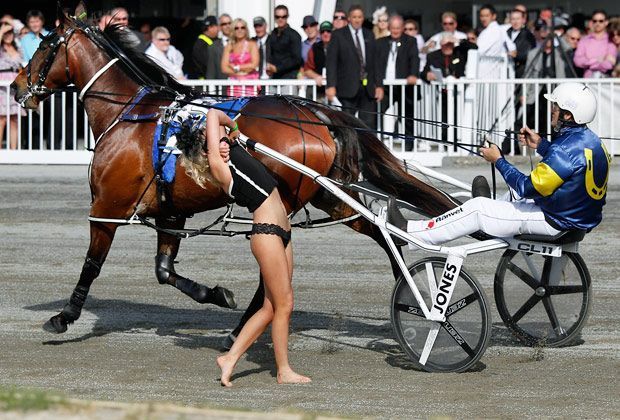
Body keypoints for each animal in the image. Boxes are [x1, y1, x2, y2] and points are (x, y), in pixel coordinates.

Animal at [10, 2, 460, 338]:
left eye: (45, 44)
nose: (16, 87)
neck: (129, 114)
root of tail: (312, 112)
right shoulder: (171, 212)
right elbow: (164, 272)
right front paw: (215, 294)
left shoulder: (107, 207)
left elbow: (92, 264)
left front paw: (64, 316)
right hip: (327, 195)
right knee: (382, 234)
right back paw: (412, 294)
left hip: (283, 198)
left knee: (276, 261)